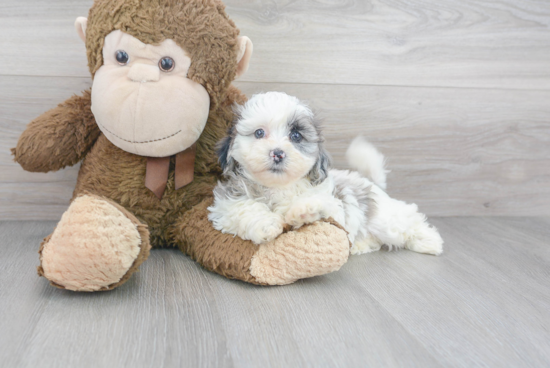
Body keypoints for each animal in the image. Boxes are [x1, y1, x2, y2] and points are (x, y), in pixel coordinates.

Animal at [207, 91, 444, 256]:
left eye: (296, 136)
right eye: (258, 133)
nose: (278, 153)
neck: (278, 187)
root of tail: (372, 183)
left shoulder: (334, 206)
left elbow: (320, 204)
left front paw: (304, 209)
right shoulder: (225, 204)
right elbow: (244, 208)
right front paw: (266, 224)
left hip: (385, 220)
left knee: (407, 221)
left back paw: (429, 241)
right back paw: (361, 245)